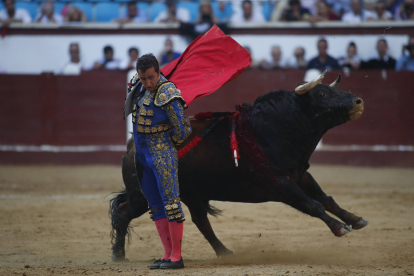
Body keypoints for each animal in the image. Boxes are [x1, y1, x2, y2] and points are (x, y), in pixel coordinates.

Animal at [107, 75, 368, 260]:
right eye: (322, 93)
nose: (357, 101)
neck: (279, 126)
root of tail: (132, 145)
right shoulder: (279, 184)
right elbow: (313, 204)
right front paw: (339, 228)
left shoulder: (301, 176)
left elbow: (327, 199)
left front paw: (355, 220)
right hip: (144, 196)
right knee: (123, 212)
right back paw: (118, 255)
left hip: (191, 194)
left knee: (201, 221)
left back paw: (224, 252)